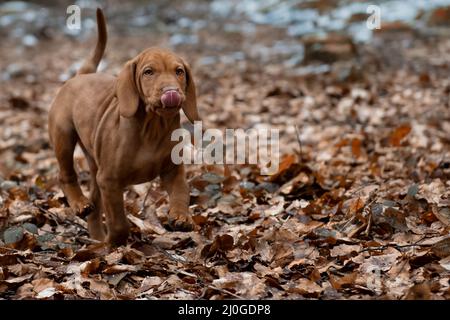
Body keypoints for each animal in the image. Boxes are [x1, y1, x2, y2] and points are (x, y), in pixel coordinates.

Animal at [47, 8, 199, 246]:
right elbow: (118, 221)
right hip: (64, 135)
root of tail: (80, 76)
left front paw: (181, 216)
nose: (171, 92)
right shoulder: (109, 180)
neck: (152, 127)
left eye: (179, 71)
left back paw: (98, 238)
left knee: (95, 205)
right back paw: (80, 205)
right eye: (148, 72)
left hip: (95, 166)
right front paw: (115, 243)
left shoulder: (173, 170)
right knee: (65, 174)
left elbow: (181, 192)